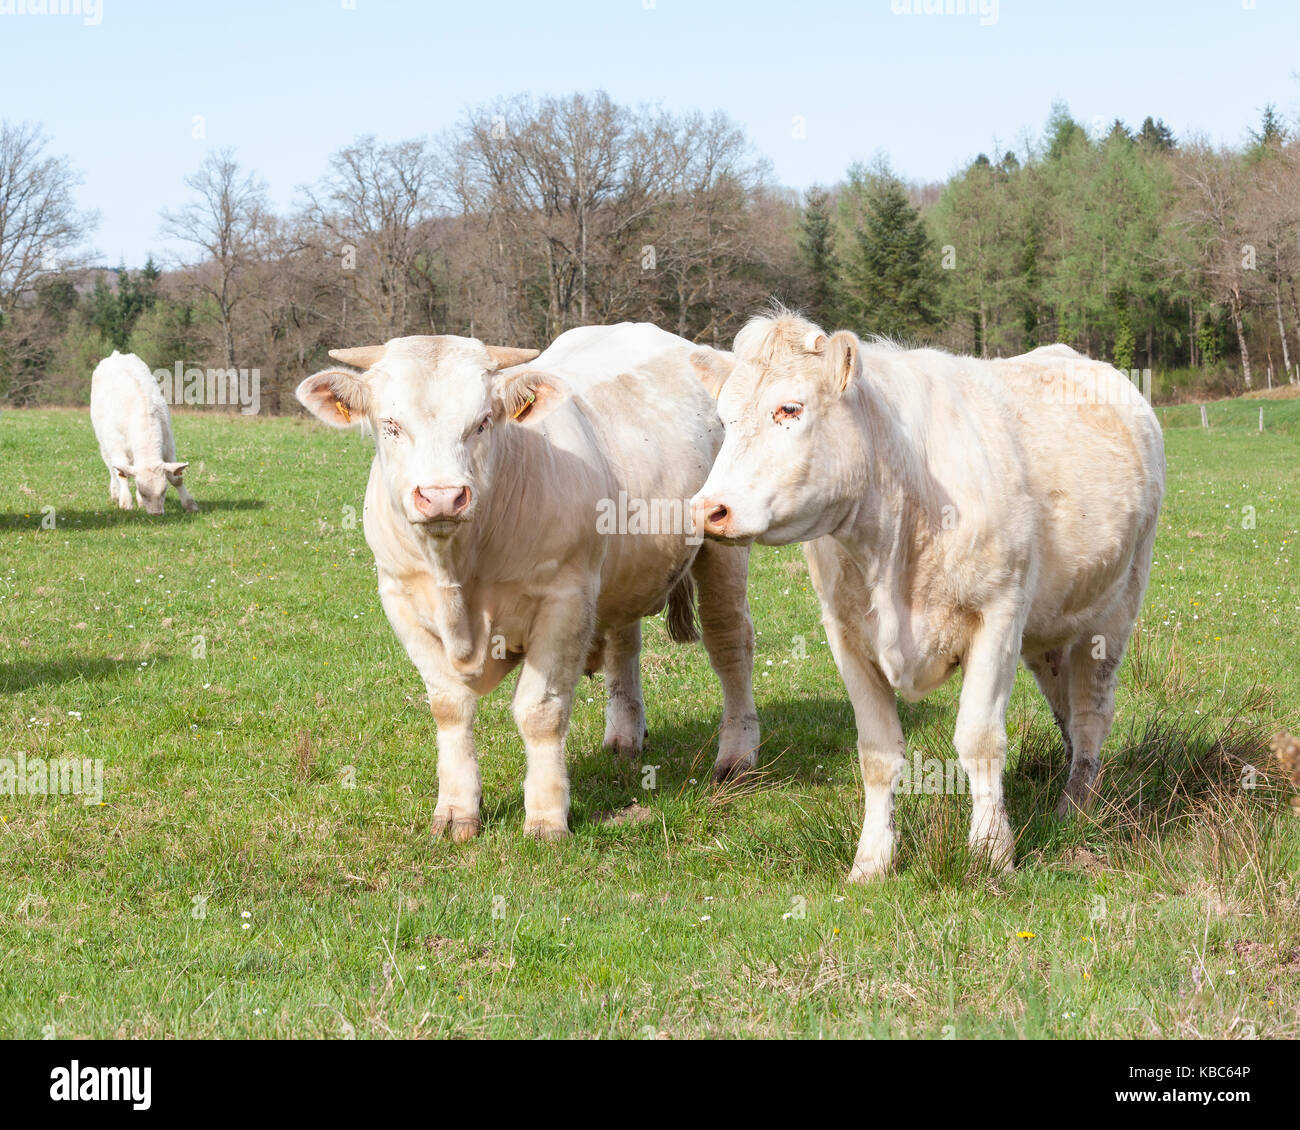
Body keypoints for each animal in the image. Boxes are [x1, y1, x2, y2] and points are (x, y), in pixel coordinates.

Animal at [90, 351, 199, 516]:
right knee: (111, 468)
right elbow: (121, 475)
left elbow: (176, 478)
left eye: (164, 491)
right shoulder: (116, 446)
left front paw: (190, 504)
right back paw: (115, 493)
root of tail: (116, 354)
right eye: (143, 492)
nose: (156, 514)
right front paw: (126, 503)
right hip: (103, 443)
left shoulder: (169, 445)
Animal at [296, 323, 759, 842]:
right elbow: (450, 707)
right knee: (625, 645)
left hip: (724, 544)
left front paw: (546, 817)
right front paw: (456, 811)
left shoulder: (565, 601)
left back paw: (737, 757)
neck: (458, 570)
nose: (442, 496)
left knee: (729, 642)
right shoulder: (399, 600)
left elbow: (540, 712)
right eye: (391, 424)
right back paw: (624, 737)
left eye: (482, 422)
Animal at [689, 311, 1164, 881]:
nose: (708, 509)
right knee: (1067, 708)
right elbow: (877, 754)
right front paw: (872, 860)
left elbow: (980, 739)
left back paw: (1075, 809)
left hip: (1114, 610)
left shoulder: (998, 614)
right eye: (724, 419)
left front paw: (991, 852)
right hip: (1049, 630)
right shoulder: (845, 633)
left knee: (1092, 711)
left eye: (790, 408)